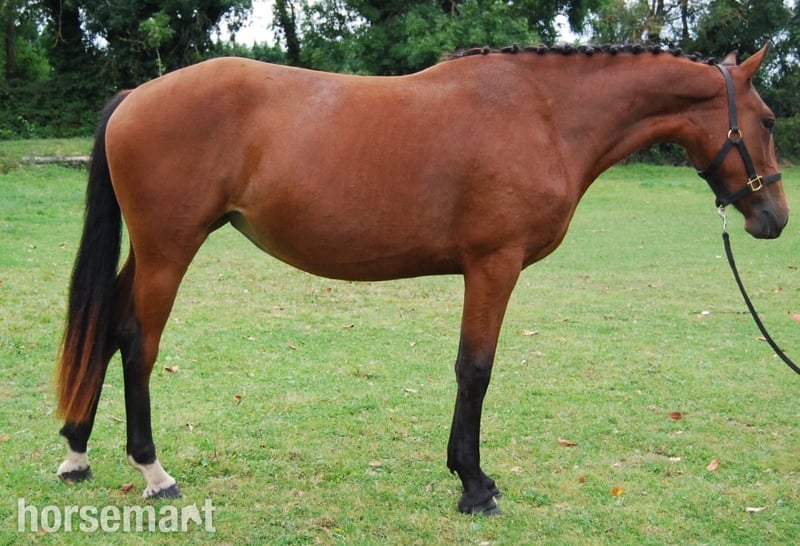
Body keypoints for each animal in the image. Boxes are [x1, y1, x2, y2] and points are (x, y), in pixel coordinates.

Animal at [55, 43, 788, 515]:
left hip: (151, 251)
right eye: (770, 121)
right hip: (168, 249)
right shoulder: (493, 264)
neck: (544, 113)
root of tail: (137, 95)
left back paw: (77, 453)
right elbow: (475, 369)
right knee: (137, 342)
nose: (775, 217)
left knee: (104, 329)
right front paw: (475, 485)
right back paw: (153, 471)